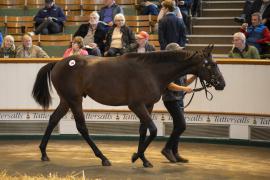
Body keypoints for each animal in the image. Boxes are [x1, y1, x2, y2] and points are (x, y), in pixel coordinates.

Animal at [31, 45, 226, 167]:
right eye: (212, 64)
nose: (222, 84)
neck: (151, 71)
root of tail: (58, 63)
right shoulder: (136, 105)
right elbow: (153, 130)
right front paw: (135, 156)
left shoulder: (148, 105)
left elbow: (143, 131)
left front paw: (144, 159)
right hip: (74, 100)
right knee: (82, 128)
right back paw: (103, 158)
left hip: (66, 100)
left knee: (53, 119)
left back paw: (43, 153)